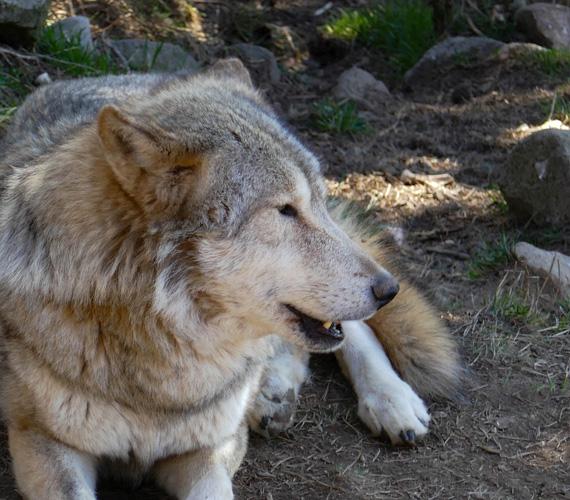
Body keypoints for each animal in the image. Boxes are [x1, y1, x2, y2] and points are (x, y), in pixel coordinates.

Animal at [0, 57, 460, 496]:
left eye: (317, 201)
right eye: (285, 210)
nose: (389, 290)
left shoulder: (213, 446)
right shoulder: (42, 442)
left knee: (349, 334)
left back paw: (391, 400)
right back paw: (274, 393)